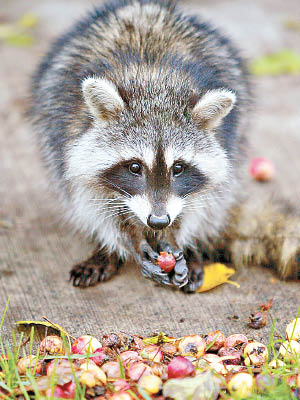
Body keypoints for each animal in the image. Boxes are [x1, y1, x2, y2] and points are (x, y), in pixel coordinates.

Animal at [31, 0, 298, 290]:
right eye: (134, 167)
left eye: (178, 168)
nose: (158, 221)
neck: (154, 83)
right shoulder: (68, 135)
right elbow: (94, 201)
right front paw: (131, 241)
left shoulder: (225, 146)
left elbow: (204, 201)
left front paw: (175, 236)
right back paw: (107, 250)